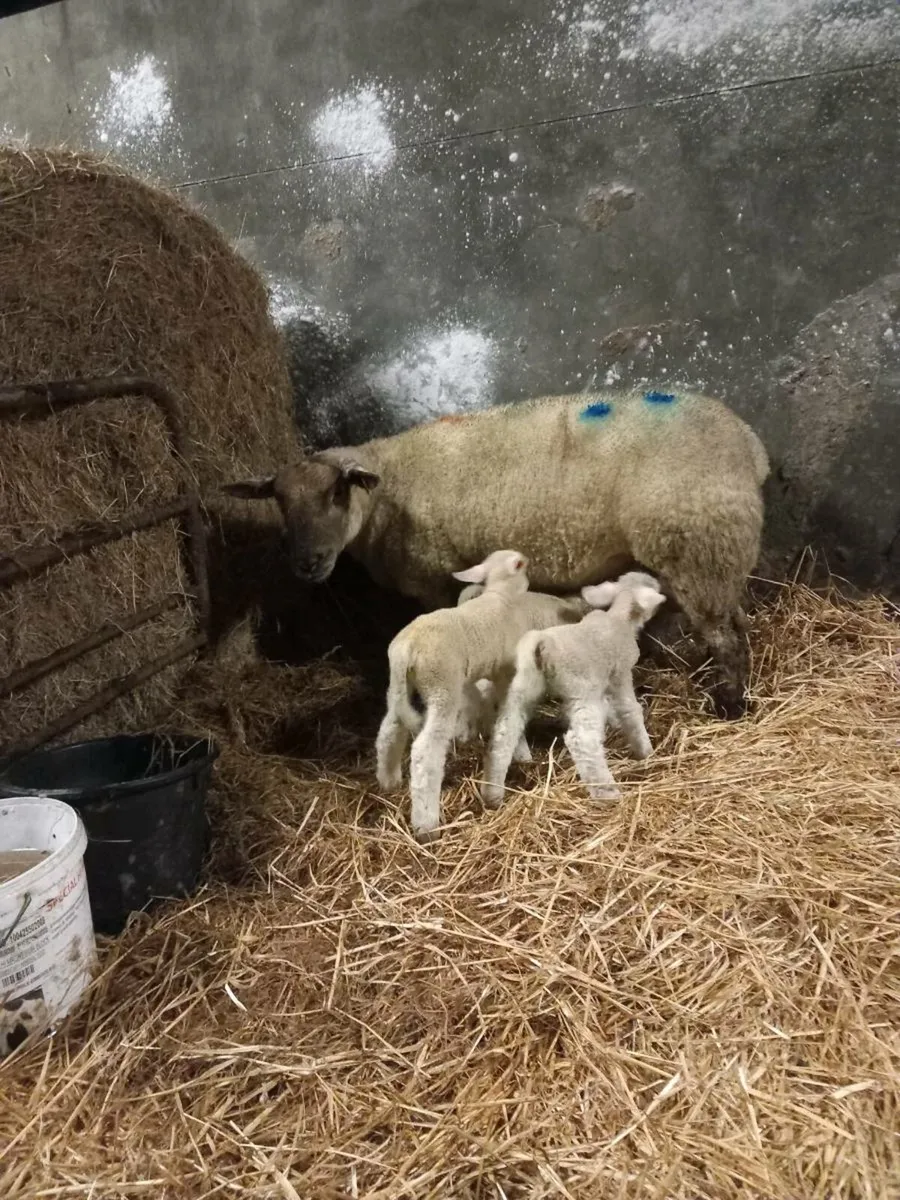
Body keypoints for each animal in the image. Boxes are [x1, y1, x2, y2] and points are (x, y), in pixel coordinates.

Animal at [223, 387, 769, 719]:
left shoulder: (436, 575)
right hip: (705, 554)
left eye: (338, 492)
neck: (388, 488)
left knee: (726, 636)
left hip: (699, 545)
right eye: (279, 501)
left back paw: (730, 705)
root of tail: (749, 445)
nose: (307, 563)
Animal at [376, 548, 574, 842]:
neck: (500, 596)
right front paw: (521, 753)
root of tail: (406, 648)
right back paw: (426, 826)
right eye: (523, 566)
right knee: (425, 752)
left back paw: (388, 782)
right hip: (442, 686)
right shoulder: (507, 673)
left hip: (399, 688)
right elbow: (507, 716)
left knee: (389, 731)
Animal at [481, 571, 666, 809]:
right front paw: (646, 752)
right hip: (582, 690)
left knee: (503, 735)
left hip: (521, 688)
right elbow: (630, 711)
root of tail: (541, 643)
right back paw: (608, 793)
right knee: (582, 742)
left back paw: (493, 794)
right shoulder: (620, 675)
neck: (619, 618)